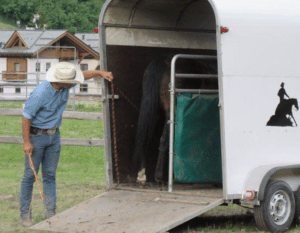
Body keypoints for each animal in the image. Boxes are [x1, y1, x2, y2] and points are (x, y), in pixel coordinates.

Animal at [134, 55, 218, 186]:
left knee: (144, 137)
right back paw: (160, 177)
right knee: (164, 140)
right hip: (171, 113)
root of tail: (164, 64)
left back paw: (142, 175)